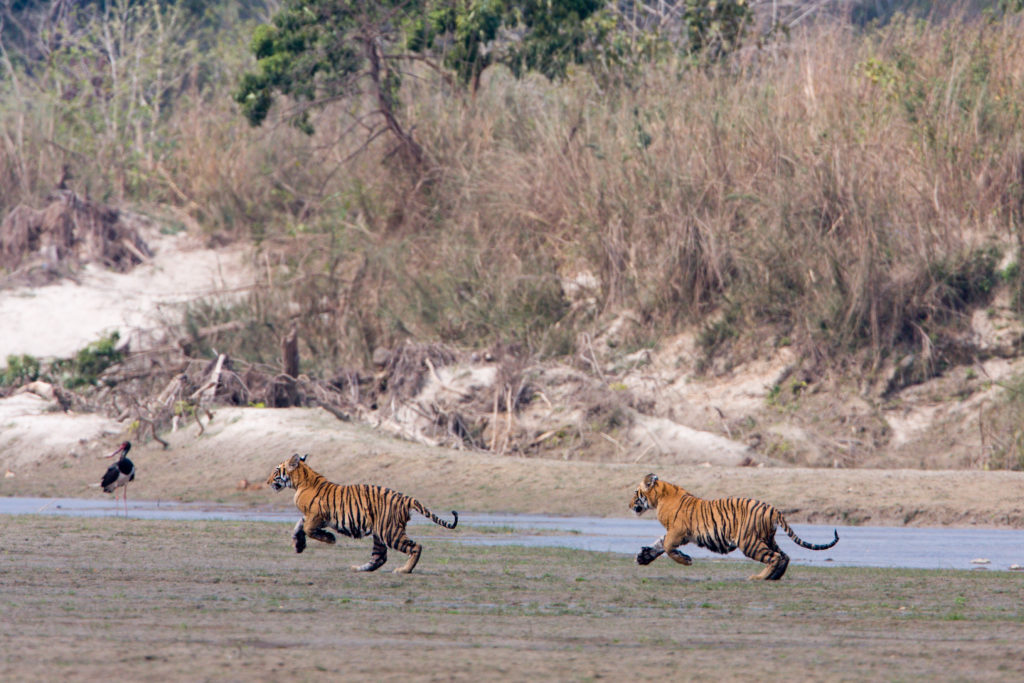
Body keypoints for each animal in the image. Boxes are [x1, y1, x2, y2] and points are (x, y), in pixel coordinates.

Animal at [266, 454, 458, 577]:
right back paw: (358, 568)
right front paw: (298, 545)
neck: (300, 482)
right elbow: (299, 525)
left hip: (389, 532)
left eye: (276, 471)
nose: (267, 482)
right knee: (379, 557)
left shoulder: (317, 515)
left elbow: (307, 528)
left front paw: (329, 539)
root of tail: (405, 498)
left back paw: (404, 570)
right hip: (380, 533)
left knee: (416, 547)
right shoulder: (312, 516)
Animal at [630, 475, 839, 581]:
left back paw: (758, 577)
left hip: (749, 542)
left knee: (774, 557)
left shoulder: (678, 531)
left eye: (636, 493)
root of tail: (773, 509)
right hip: (766, 538)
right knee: (785, 556)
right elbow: (659, 544)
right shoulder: (674, 533)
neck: (660, 497)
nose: (629, 504)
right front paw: (643, 557)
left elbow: (666, 547)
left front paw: (686, 560)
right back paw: (774, 577)